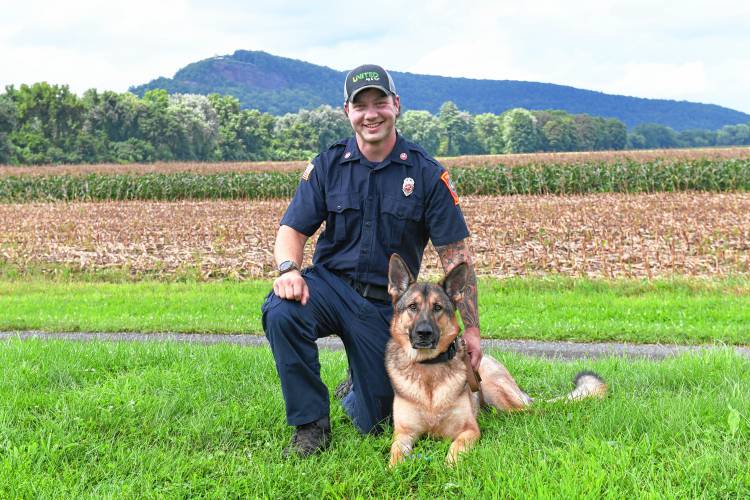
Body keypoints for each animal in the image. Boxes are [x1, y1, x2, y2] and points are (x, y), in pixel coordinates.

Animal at [384, 256, 608, 466]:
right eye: (413, 307)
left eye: (437, 307)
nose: (424, 333)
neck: (429, 368)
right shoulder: (403, 434)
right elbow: (394, 457)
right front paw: (395, 471)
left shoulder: (469, 430)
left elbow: (455, 450)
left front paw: (449, 467)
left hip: (496, 391)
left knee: (532, 410)